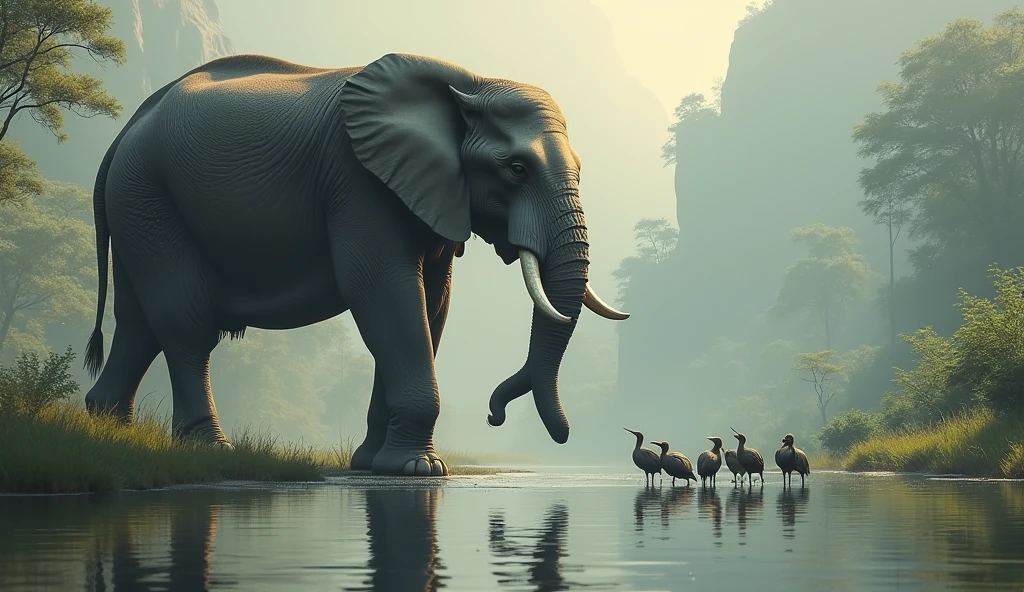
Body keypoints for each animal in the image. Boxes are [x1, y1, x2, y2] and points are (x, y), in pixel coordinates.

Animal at [81, 52, 629, 476]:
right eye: (516, 169)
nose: (495, 416)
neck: (468, 80)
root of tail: (123, 132)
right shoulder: (358, 182)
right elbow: (384, 292)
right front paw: (419, 469)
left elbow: (431, 305)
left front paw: (374, 465)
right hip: (147, 192)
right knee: (185, 318)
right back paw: (211, 450)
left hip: (137, 205)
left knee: (138, 323)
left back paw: (109, 432)